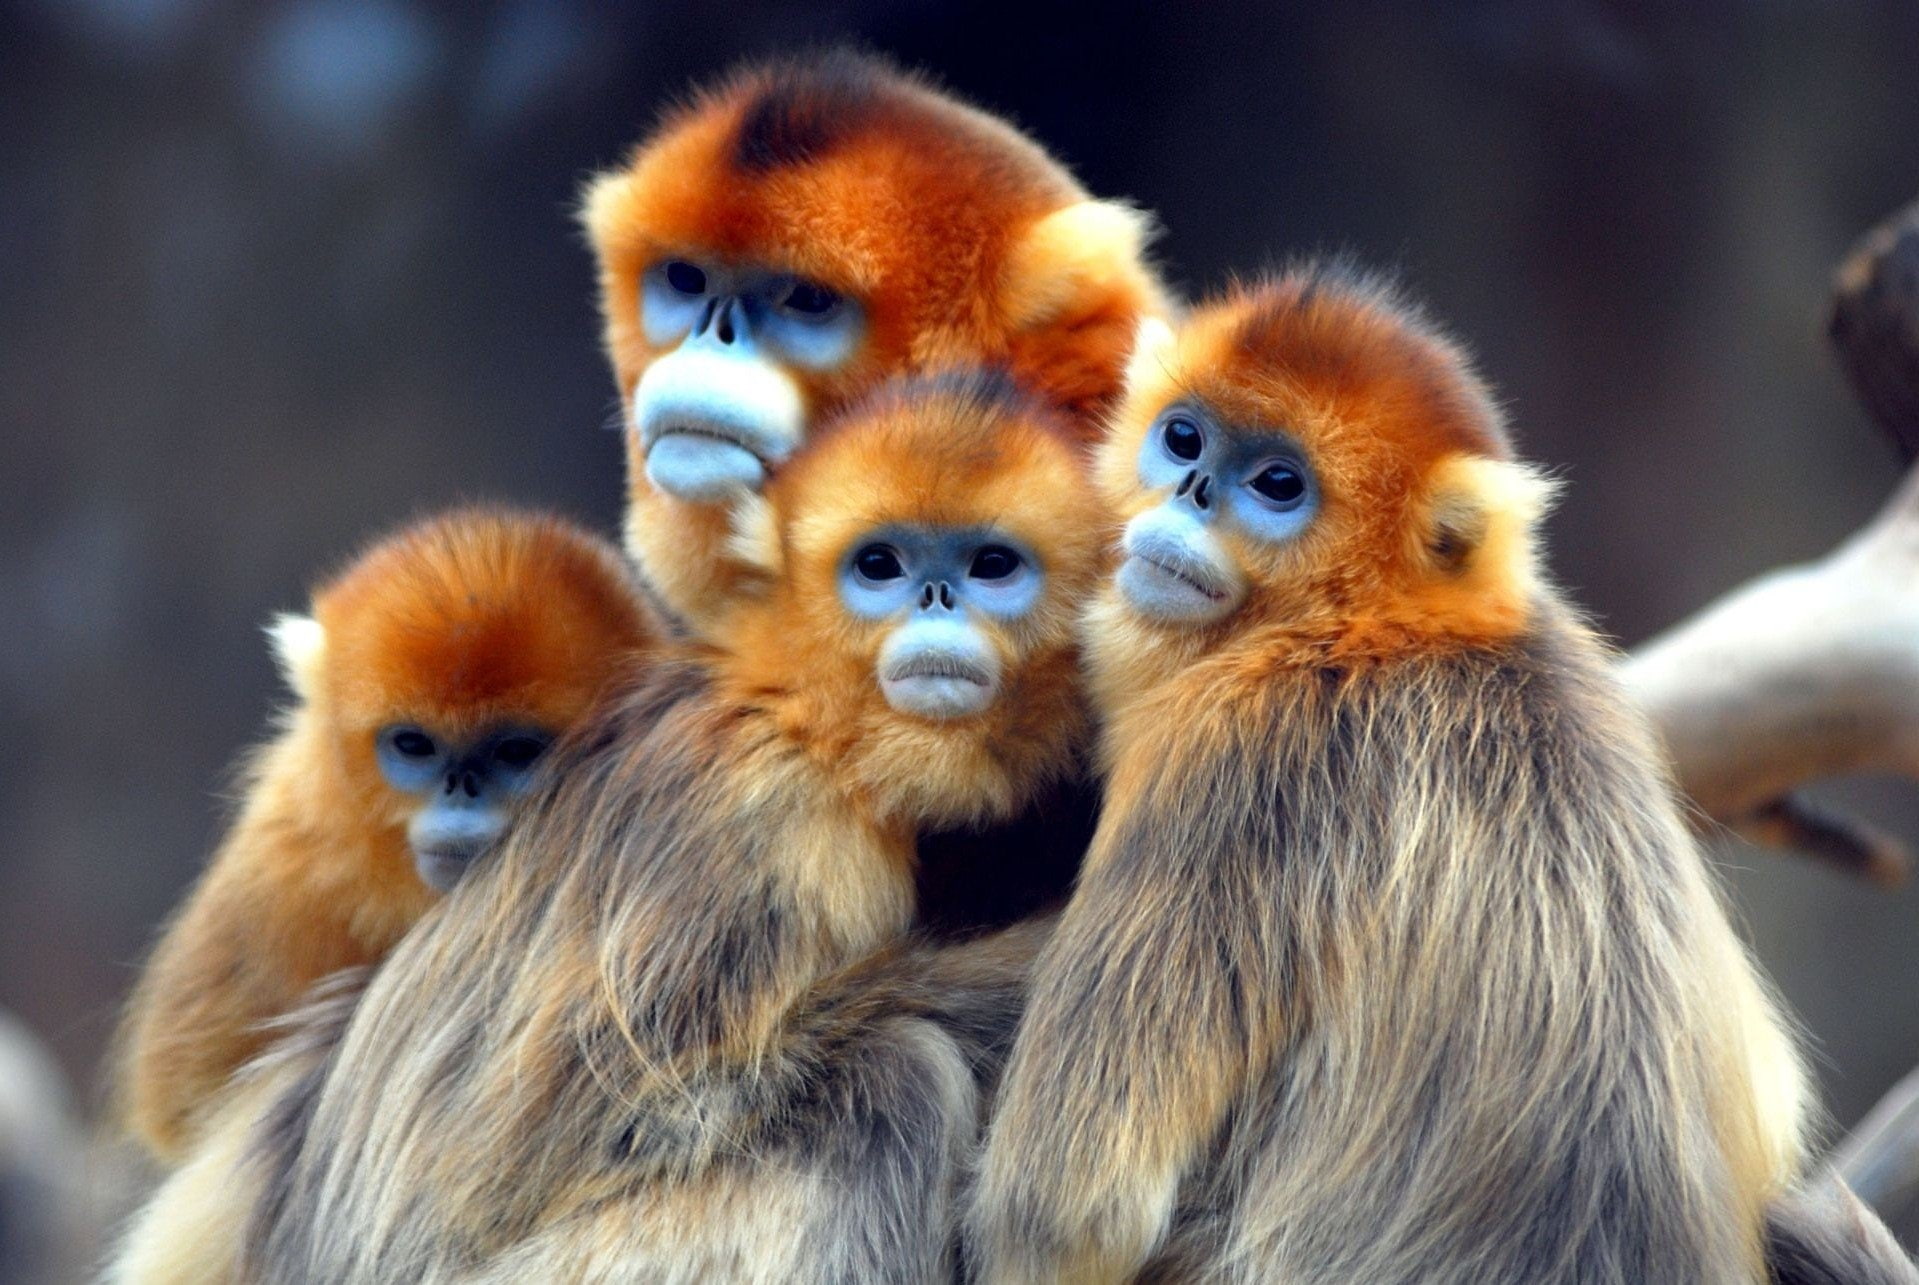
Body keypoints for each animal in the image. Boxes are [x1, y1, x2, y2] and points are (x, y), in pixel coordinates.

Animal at [966, 264, 1815, 1284]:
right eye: (1183, 438)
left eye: (1277, 485)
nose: (1192, 491)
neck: (1374, 634)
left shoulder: (1239, 753)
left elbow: (1067, 1210)